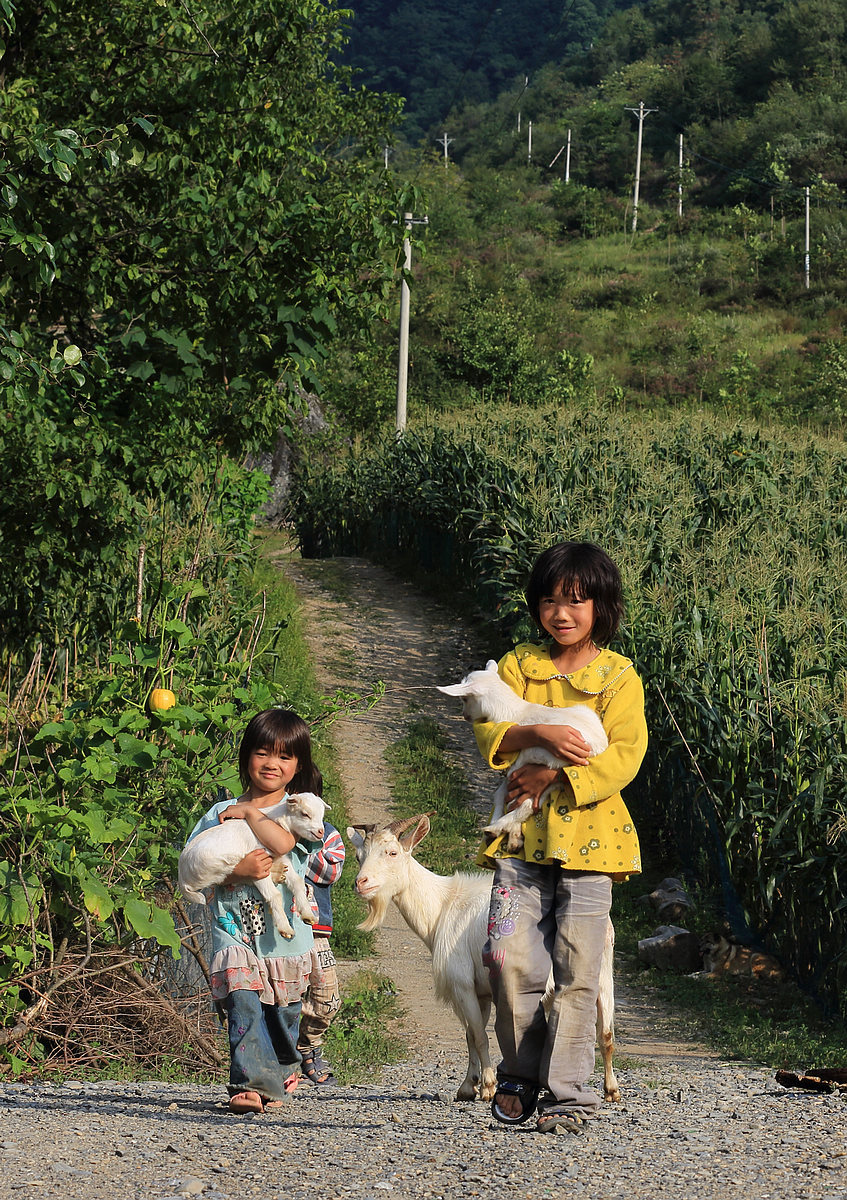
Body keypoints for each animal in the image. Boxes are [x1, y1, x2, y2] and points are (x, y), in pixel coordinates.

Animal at [176, 792, 323, 940]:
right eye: (305, 814)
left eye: (322, 816)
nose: (321, 831)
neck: (275, 821)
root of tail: (182, 879)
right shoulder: (259, 864)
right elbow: (274, 894)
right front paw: (286, 929)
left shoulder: (279, 854)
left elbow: (297, 881)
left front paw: (308, 915)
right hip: (219, 864)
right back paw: (276, 875)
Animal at [345, 816, 619, 1104]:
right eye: (359, 855)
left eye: (392, 853)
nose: (361, 883)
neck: (442, 907)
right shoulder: (481, 992)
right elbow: (469, 1035)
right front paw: (469, 1085)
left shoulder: (461, 983)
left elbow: (478, 1036)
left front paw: (487, 1086)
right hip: (600, 974)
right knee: (605, 1034)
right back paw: (610, 1090)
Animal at [436, 662, 607, 849]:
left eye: (465, 699)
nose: (465, 716)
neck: (514, 712)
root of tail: (598, 746)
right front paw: (512, 832)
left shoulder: (519, 764)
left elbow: (506, 793)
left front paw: (502, 828)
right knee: (532, 800)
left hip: (545, 757)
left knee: (520, 800)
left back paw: (496, 828)